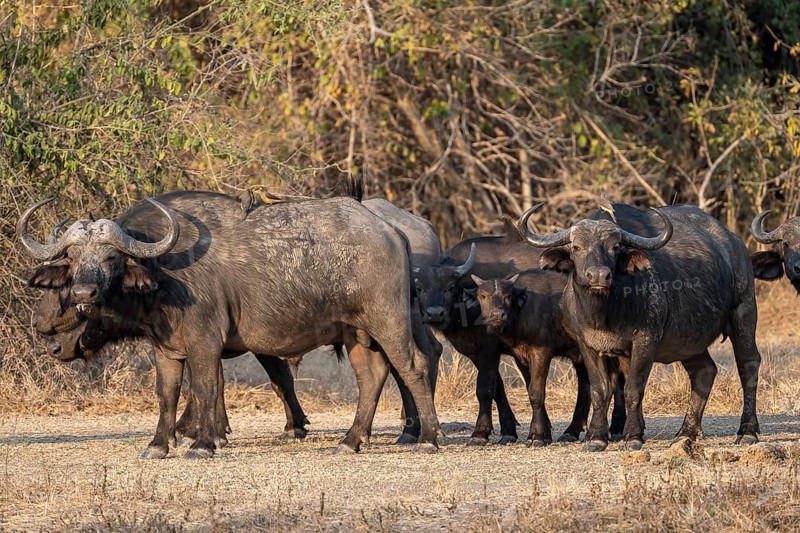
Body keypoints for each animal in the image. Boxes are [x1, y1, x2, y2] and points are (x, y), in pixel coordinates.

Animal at [19, 191, 441, 458]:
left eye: (110, 257)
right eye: (72, 259)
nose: (84, 292)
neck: (164, 272)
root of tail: (390, 231)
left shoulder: (206, 342)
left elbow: (207, 387)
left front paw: (203, 443)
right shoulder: (166, 349)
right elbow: (167, 394)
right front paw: (159, 444)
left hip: (389, 320)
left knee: (415, 365)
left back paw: (425, 437)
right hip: (356, 334)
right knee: (372, 375)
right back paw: (351, 440)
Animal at [518, 203, 761, 451]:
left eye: (615, 247)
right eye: (576, 247)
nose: (598, 276)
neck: (606, 312)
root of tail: (734, 243)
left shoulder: (645, 340)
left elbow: (633, 389)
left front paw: (633, 436)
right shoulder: (587, 344)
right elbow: (599, 390)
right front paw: (596, 437)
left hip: (743, 314)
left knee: (748, 365)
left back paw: (747, 431)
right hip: (689, 342)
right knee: (704, 371)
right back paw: (686, 433)